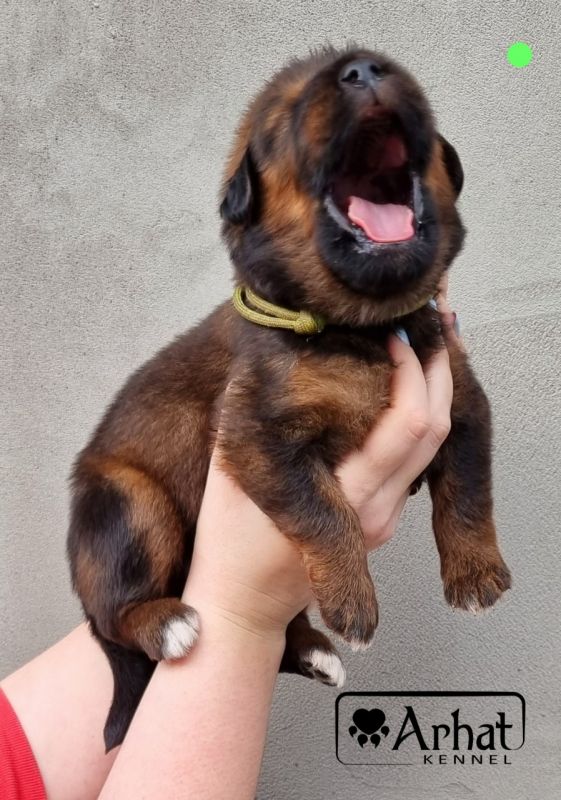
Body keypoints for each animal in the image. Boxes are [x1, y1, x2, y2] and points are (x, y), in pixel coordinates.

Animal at [67, 45, 511, 751]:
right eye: (287, 114)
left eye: (397, 71)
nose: (364, 70)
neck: (362, 325)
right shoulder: (259, 432)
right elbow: (324, 508)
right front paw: (355, 603)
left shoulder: (460, 401)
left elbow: (467, 489)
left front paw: (476, 578)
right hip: (129, 503)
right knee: (114, 617)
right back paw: (168, 623)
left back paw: (313, 650)